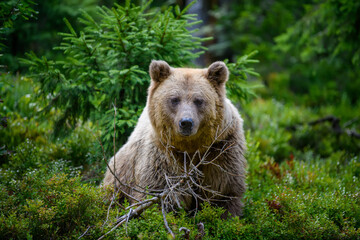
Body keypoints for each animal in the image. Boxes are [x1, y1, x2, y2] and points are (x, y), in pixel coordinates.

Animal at [102, 59, 246, 216]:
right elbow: (158, 195)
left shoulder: (221, 149)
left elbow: (223, 193)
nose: (186, 122)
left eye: (199, 100)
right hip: (119, 175)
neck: (191, 148)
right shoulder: (163, 156)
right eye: (174, 99)